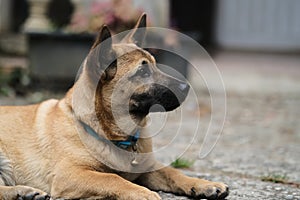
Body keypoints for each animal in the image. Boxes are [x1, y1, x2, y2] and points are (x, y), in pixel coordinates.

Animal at [0, 13, 227, 199]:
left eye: (155, 64)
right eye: (142, 72)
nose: (186, 87)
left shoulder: (149, 167)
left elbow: (173, 172)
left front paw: (203, 184)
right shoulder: (70, 175)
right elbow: (113, 178)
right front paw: (143, 193)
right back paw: (23, 192)